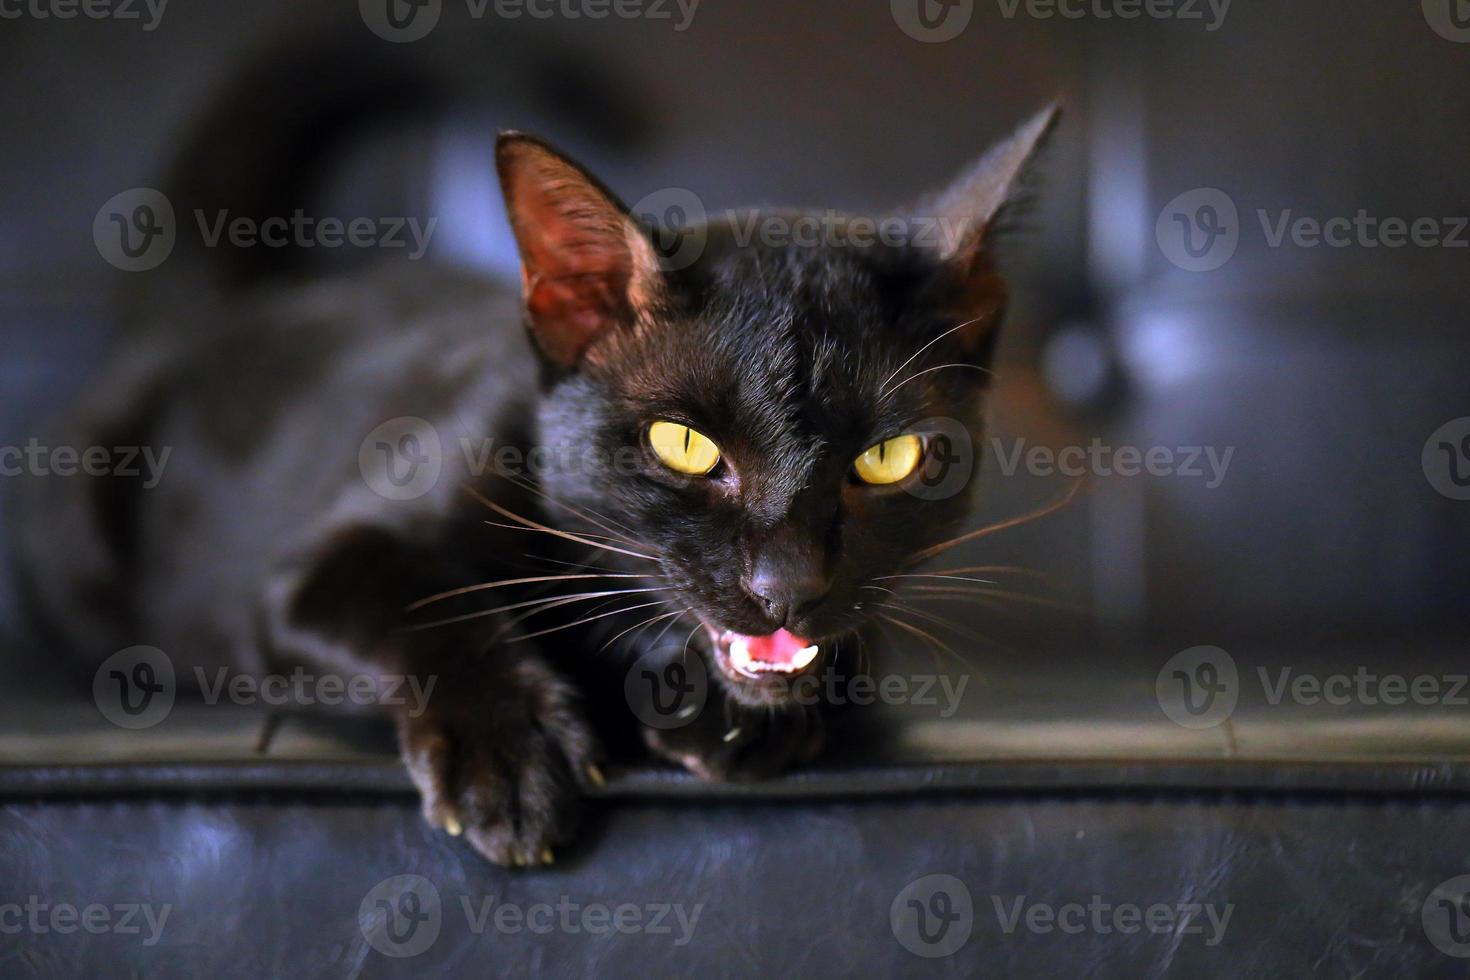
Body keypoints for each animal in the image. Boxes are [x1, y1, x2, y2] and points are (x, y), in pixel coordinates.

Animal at [5, 101, 1052, 863]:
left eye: (889, 458)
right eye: (683, 444)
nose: (784, 587)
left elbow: (853, 641)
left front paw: (733, 712)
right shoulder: (315, 566)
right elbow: (420, 605)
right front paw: (510, 752)